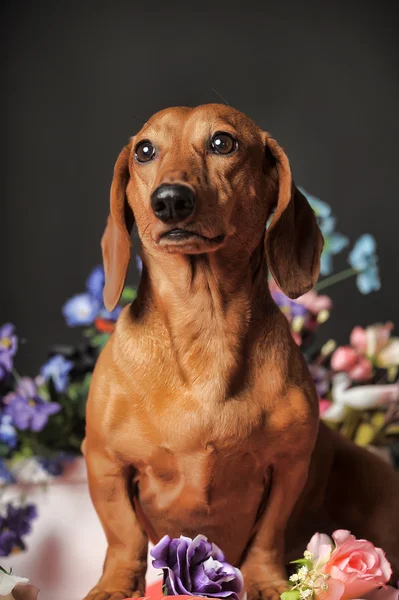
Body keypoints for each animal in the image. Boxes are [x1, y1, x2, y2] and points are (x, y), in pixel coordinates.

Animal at [82, 105, 399, 600]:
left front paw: (268, 582)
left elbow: (268, 535)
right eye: (144, 151)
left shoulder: (288, 466)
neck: (205, 329)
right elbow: (123, 536)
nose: (169, 200)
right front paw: (115, 585)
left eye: (222, 143)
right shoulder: (105, 462)